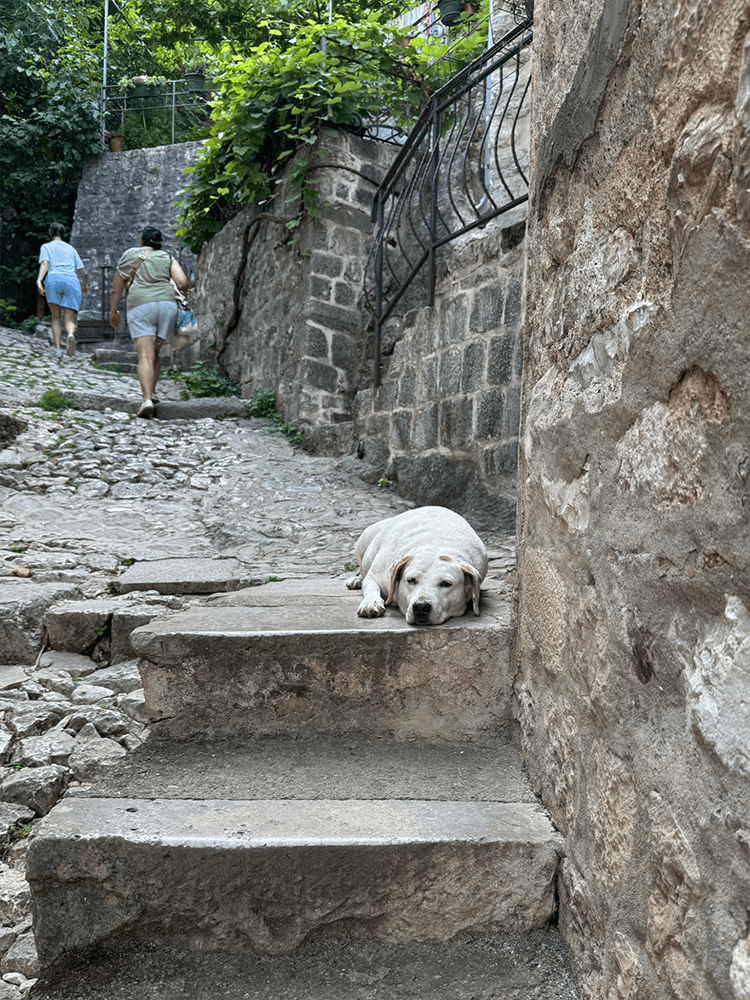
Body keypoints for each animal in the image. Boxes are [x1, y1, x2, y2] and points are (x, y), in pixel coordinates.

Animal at [346, 508, 488, 624]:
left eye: (446, 584)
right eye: (411, 580)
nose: (420, 607)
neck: (434, 546)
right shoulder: (376, 575)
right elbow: (371, 586)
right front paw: (371, 603)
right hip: (363, 541)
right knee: (362, 570)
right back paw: (356, 580)